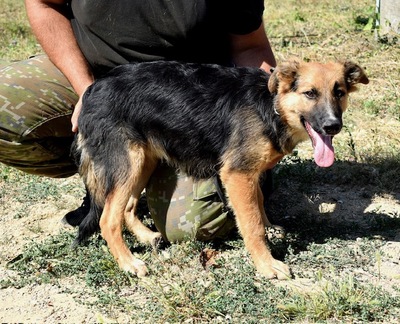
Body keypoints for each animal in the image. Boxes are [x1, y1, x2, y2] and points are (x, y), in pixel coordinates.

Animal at [72, 59, 368, 280]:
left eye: (339, 92)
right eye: (310, 93)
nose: (332, 126)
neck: (271, 107)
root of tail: (93, 90)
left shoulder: (250, 174)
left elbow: (259, 204)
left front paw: (270, 228)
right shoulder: (237, 175)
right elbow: (252, 225)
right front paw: (267, 264)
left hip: (144, 161)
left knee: (128, 207)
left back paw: (147, 237)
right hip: (128, 163)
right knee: (108, 220)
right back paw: (129, 263)